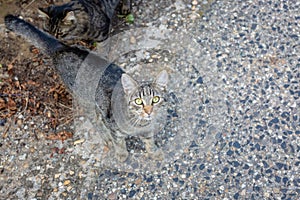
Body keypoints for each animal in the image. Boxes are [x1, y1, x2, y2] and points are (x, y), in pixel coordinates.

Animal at [4, 14, 168, 162]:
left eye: (155, 99)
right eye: (138, 101)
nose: (148, 111)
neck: (139, 123)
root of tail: (61, 48)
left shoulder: (148, 129)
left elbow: (150, 141)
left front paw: (154, 152)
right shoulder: (112, 125)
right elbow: (119, 141)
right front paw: (122, 154)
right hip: (86, 101)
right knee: (95, 122)